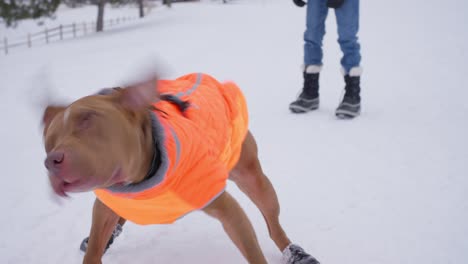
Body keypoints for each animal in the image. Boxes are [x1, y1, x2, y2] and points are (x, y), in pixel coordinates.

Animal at [42, 72, 320, 264]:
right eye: (48, 141)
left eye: (88, 120)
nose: (52, 160)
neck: (140, 181)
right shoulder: (106, 205)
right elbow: (94, 247)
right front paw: (98, 243)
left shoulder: (228, 211)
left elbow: (253, 250)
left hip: (253, 177)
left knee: (273, 224)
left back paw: (294, 251)